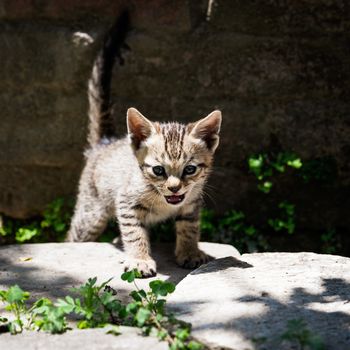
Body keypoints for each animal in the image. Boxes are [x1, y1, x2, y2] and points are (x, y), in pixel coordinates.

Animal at [66, 10, 221, 278]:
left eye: (190, 169)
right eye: (158, 170)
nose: (174, 188)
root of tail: (104, 144)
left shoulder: (192, 203)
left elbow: (189, 228)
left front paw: (190, 252)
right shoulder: (126, 203)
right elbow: (134, 233)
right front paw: (139, 260)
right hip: (91, 214)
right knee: (74, 236)